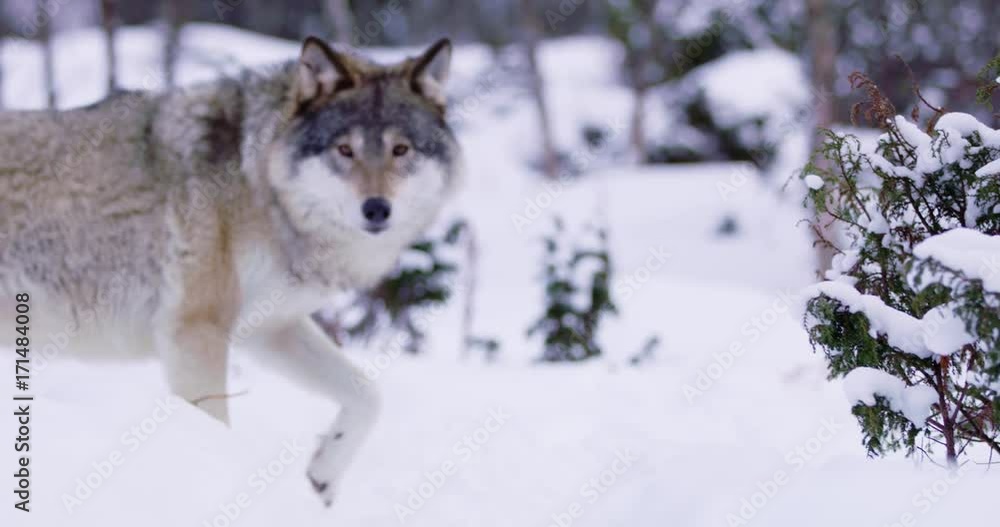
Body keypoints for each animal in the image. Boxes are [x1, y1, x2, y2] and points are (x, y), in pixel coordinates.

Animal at [0, 36, 462, 506]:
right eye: (344, 150)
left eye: (401, 150)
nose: (377, 209)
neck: (258, 185)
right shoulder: (196, 331)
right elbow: (216, 423)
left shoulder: (269, 329)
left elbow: (369, 395)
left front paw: (325, 475)